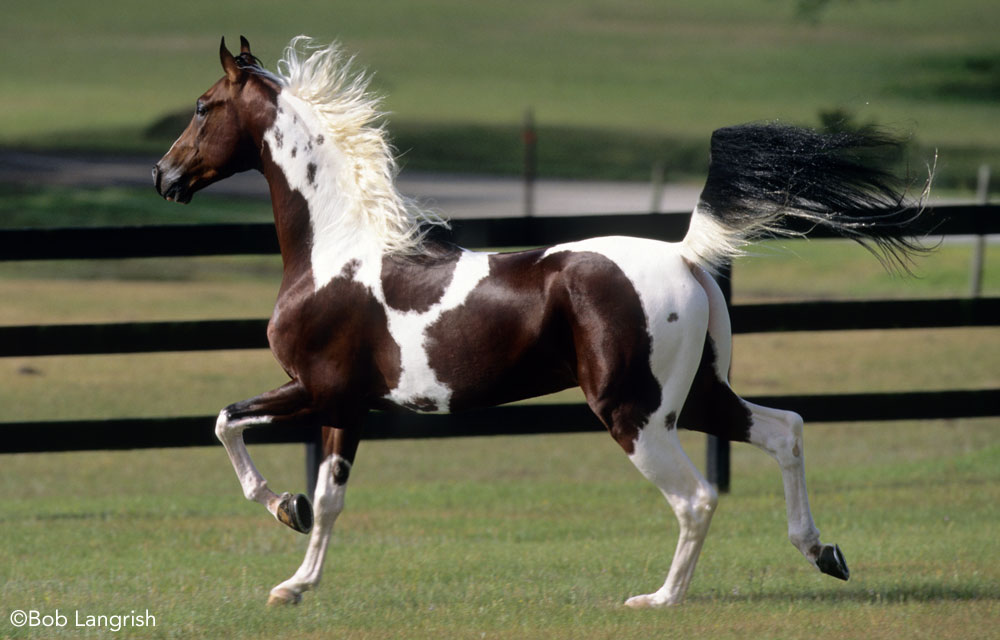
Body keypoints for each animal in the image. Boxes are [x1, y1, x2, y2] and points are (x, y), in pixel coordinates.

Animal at [156, 37, 928, 608]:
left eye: (202, 106)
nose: (165, 176)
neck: (335, 252)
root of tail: (686, 255)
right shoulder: (349, 405)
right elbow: (328, 497)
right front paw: (294, 581)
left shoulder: (321, 390)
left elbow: (232, 427)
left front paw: (280, 511)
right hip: (699, 397)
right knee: (785, 430)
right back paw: (824, 553)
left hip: (633, 413)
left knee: (697, 497)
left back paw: (658, 600)